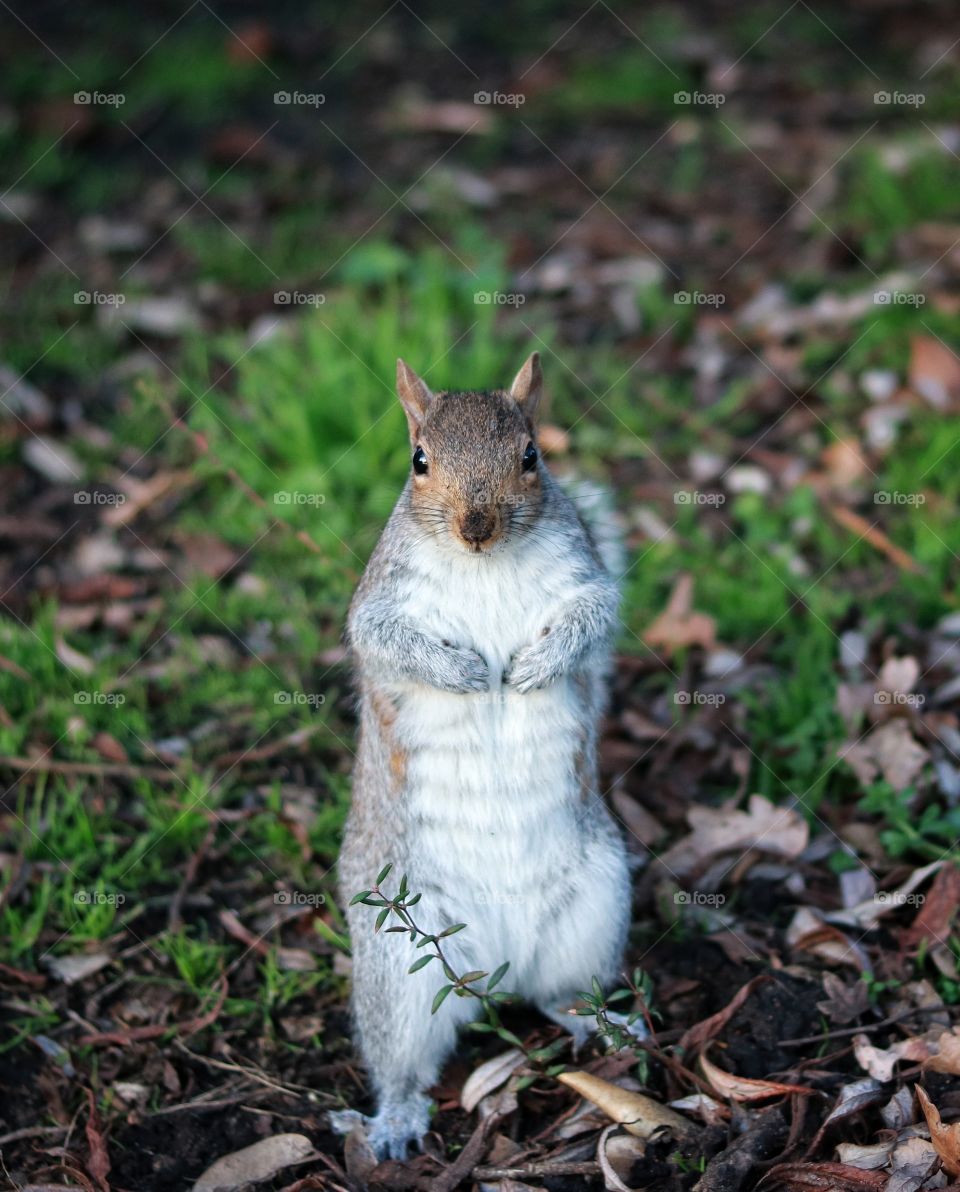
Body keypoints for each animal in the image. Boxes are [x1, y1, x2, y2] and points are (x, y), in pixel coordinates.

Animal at [337, 353, 633, 1161]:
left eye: (531, 456)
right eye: (418, 461)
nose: (478, 527)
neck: (485, 565)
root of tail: (495, 964)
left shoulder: (587, 582)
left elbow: (594, 620)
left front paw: (533, 669)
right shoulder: (379, 600)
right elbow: (383, 638)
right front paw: (466, 672)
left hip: (593, 910)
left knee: (557, 994)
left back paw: (607, 1025)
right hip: (397, 961)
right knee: (403, 1062)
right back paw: (394, 1120)